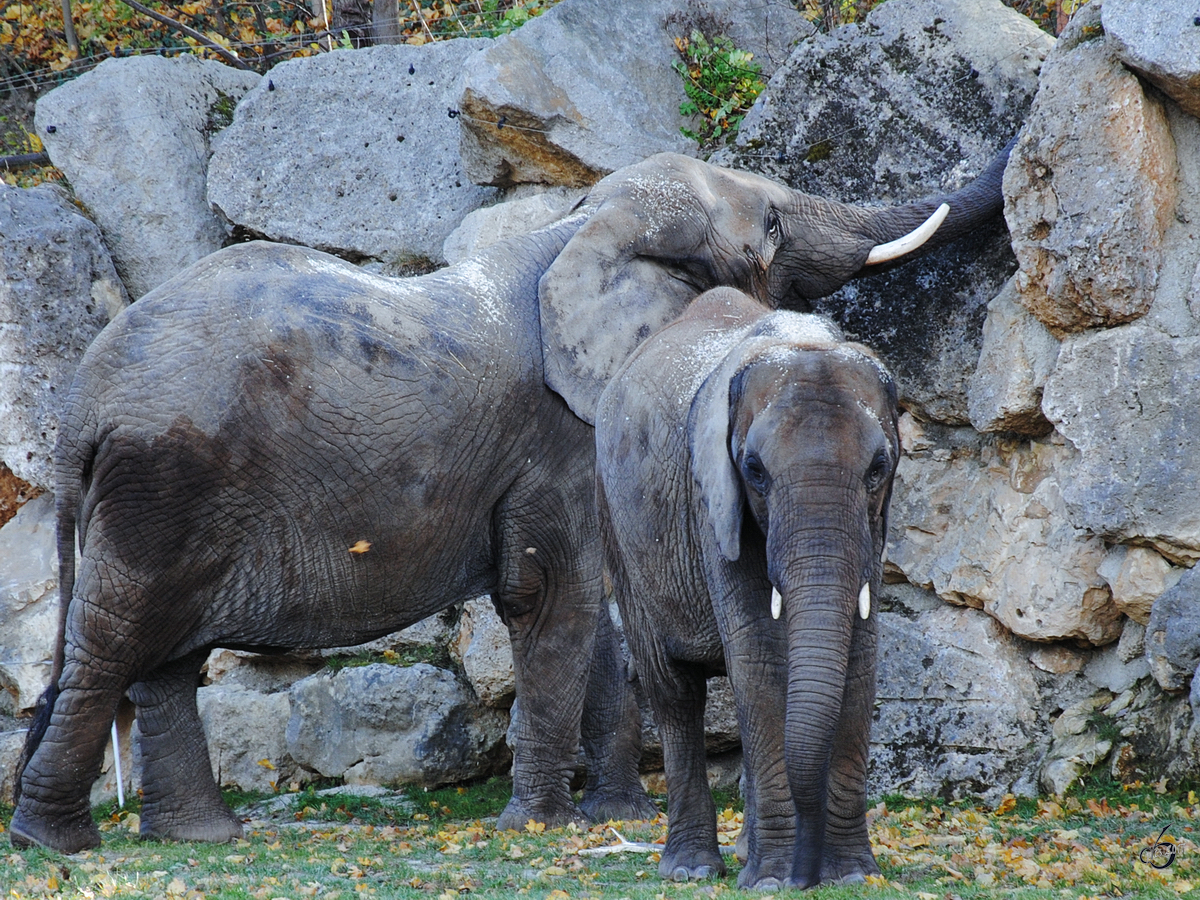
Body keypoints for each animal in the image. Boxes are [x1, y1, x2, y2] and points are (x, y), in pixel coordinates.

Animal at [595, 286, 897, 888]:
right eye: (754, 470)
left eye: (879, 467)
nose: (807, 878)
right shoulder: (713, 502)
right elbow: (760, 655)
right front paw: (774, 881)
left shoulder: (871, 526)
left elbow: (861, 657)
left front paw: (851, 876)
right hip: (617, 526)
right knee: (675, 693)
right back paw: (691, 868)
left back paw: (740, 856)